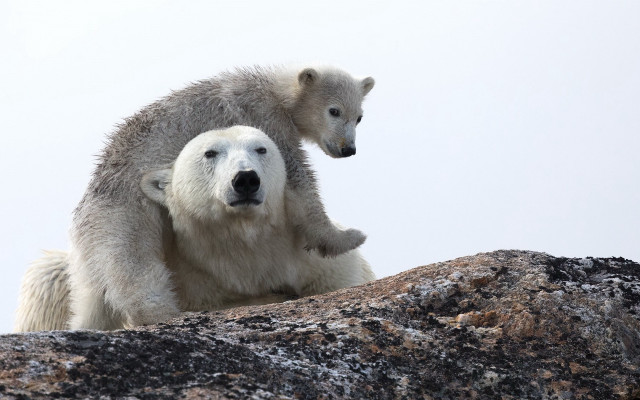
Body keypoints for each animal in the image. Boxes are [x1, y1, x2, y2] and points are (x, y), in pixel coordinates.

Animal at [68, 65, 374, 329]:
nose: (348, 149)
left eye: (359, 117)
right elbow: (297, 179)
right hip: (125, 215)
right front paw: (349, 236)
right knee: (136, 266)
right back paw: (169, 313)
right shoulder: (263, 116)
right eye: (334, 111)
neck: (275, 90)